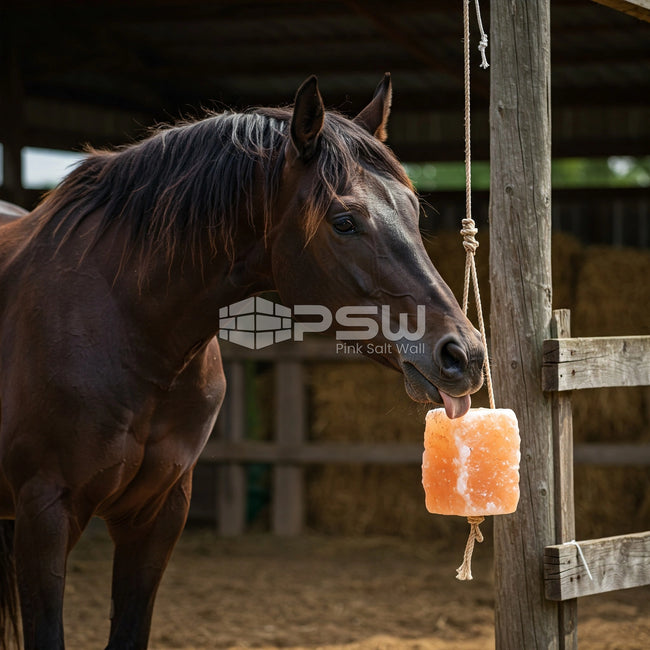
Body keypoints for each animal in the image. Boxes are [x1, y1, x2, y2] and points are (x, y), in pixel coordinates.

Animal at [0, 73, 484, 644]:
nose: (464, 355)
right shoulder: (44, 516)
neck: (123, 325)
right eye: (344, 221)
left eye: (412, 210)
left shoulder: (157, 513)